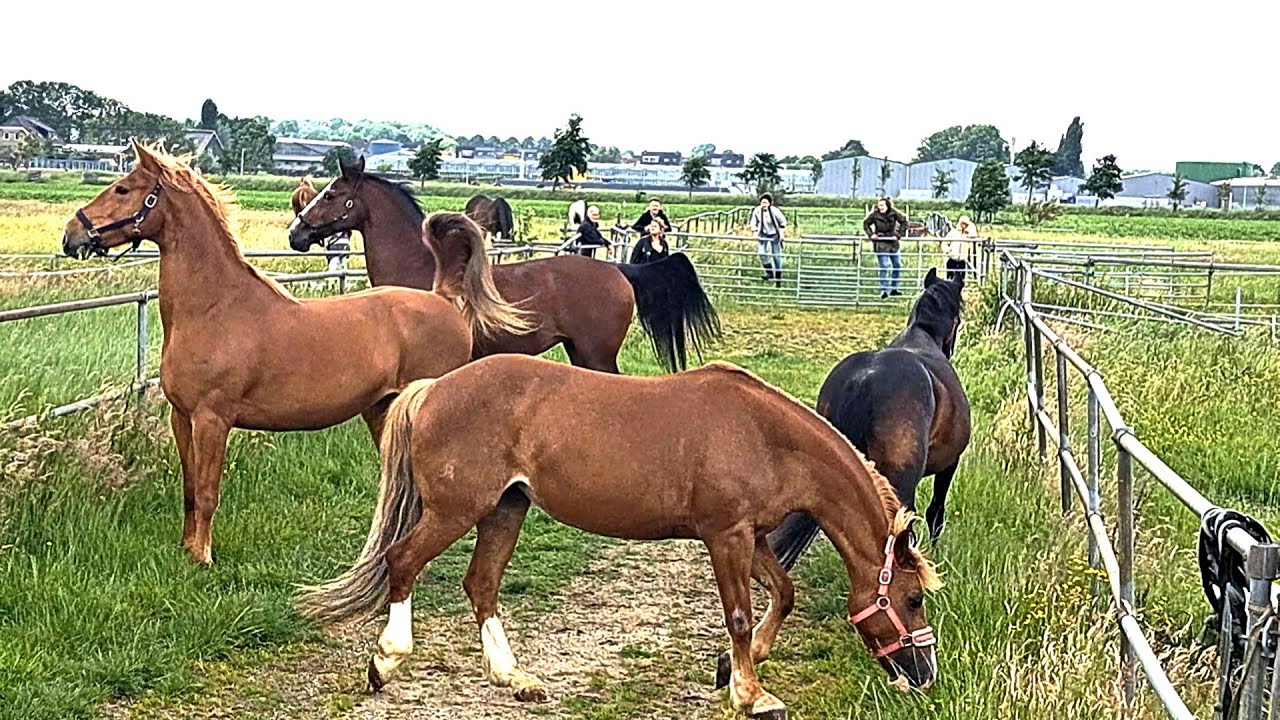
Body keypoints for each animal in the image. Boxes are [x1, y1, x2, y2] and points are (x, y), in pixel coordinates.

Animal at [61, 142, 531, 565]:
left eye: (123, 188)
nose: (71, 235)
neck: (216, 308)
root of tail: (443, 298)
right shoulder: (183, 418)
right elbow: (190, 489)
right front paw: (186, 549)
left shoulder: (213, 419)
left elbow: (209, 491)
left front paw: (203, 558)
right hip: (381, 410)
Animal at [288, 156, 721, 373]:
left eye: (331, 194)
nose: (296, 234)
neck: (422, 268)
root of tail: (619, 271)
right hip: (579, 351)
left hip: (596, 353)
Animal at [297, 355, 942, 717]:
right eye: (911, 599)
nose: (924, 675)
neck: (765, 435)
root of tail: (431, 389)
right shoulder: (725, 536)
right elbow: (738, 614)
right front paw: (751, 694)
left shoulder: (753, 537)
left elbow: (782, 595)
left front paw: (740, 669)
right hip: (457, 510)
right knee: (403, 562)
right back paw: (386, 661)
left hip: (506, 510)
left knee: (480, 584)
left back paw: (515, 679)